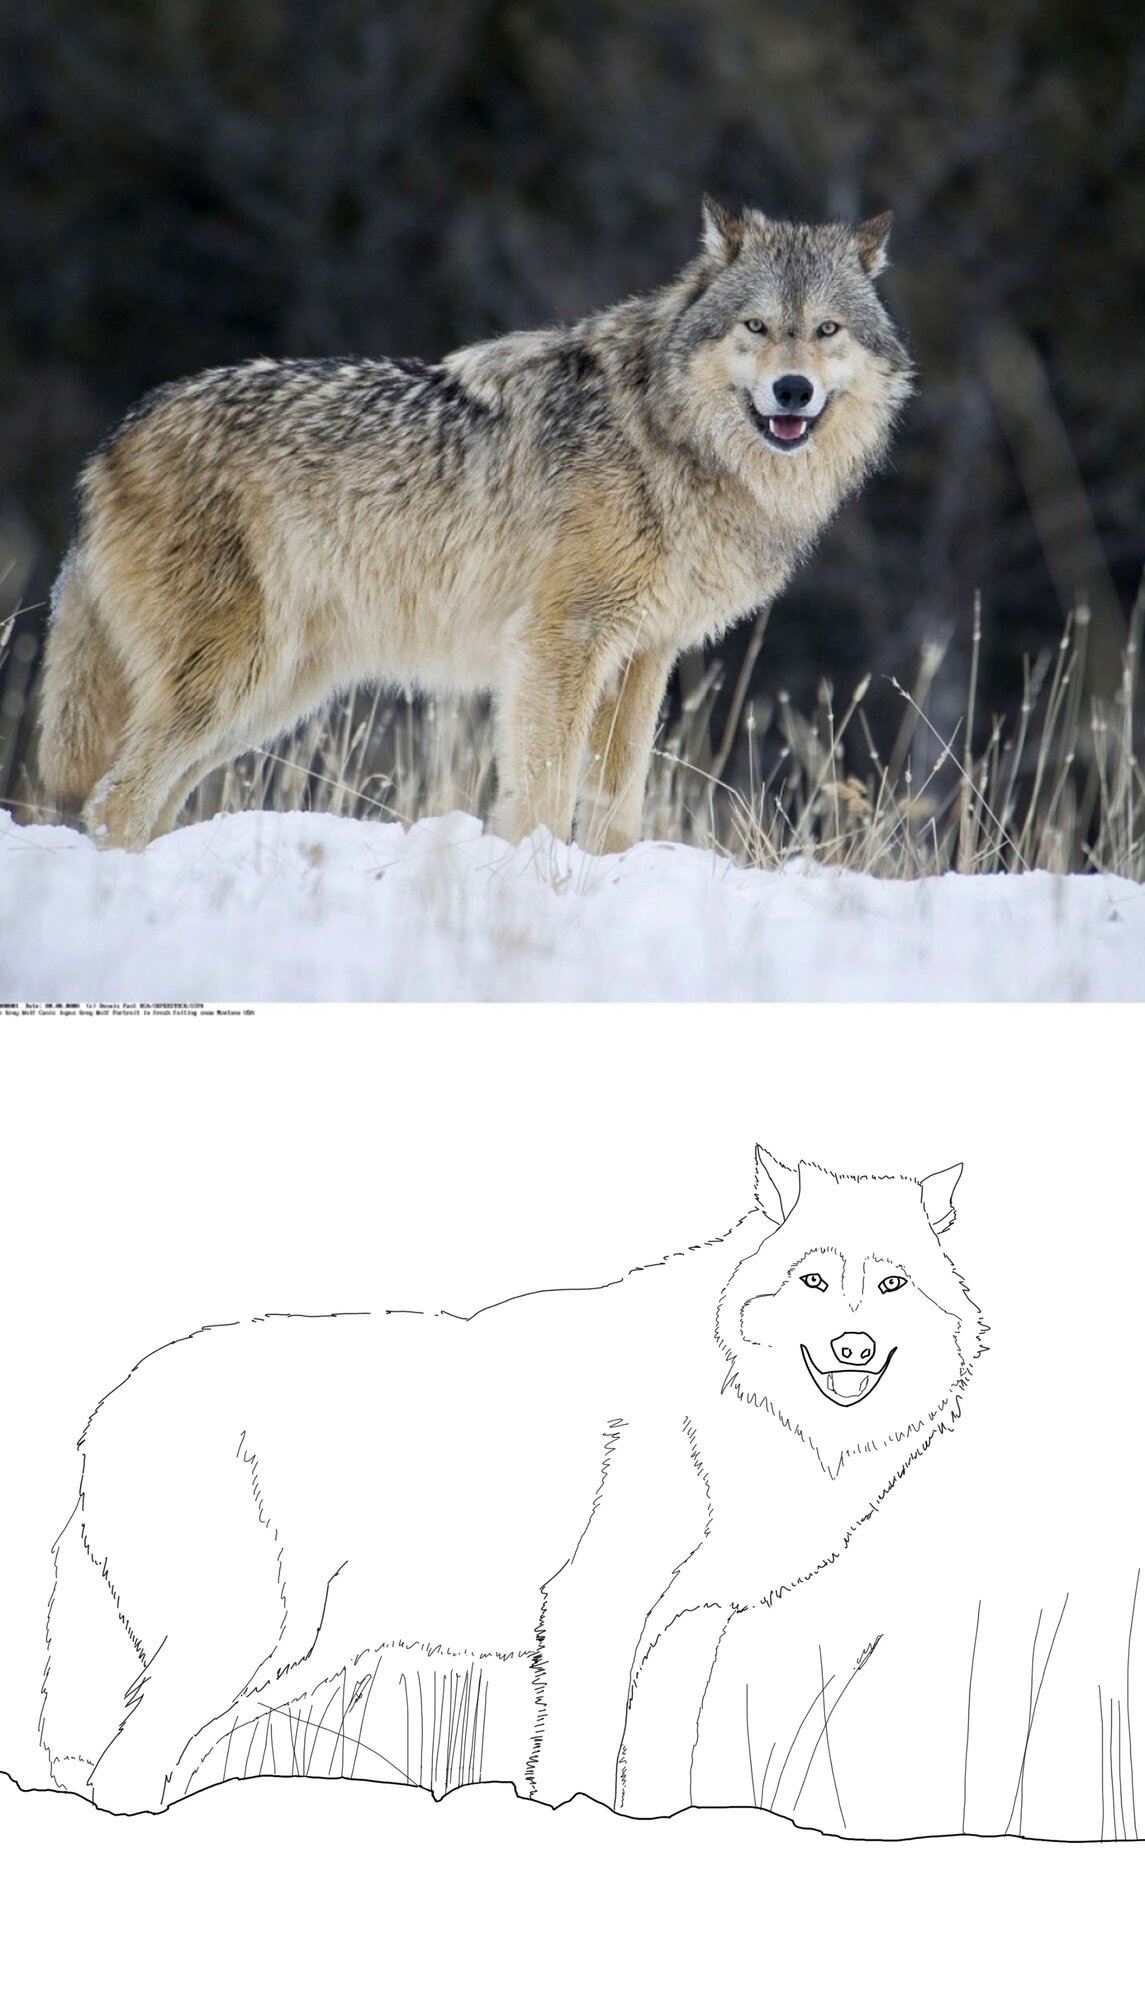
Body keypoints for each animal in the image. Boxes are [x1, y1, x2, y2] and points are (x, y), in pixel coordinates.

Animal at [37, 203, 912, 851]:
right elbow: (543, 790)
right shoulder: (560, 643)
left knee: (145, 800)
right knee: (115, 799)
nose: (792, 390)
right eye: (756, 327)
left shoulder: (643, 656)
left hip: (271, 693)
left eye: (826, 330)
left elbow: (615, 802)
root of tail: (112, 441)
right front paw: (534, 875)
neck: (666, 438)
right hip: (233, 679)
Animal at [40, 1145, 983, 1818]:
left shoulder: (691, 1625)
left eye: (891, 1284)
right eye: (812, 1280)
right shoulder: (595, 1605)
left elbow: (663, 1766)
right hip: (252, 1640)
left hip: (293, 1659)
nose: (853, 1346)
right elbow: (577, 1755)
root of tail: (104, 1411)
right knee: (123, 1767)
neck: (742, 1401)